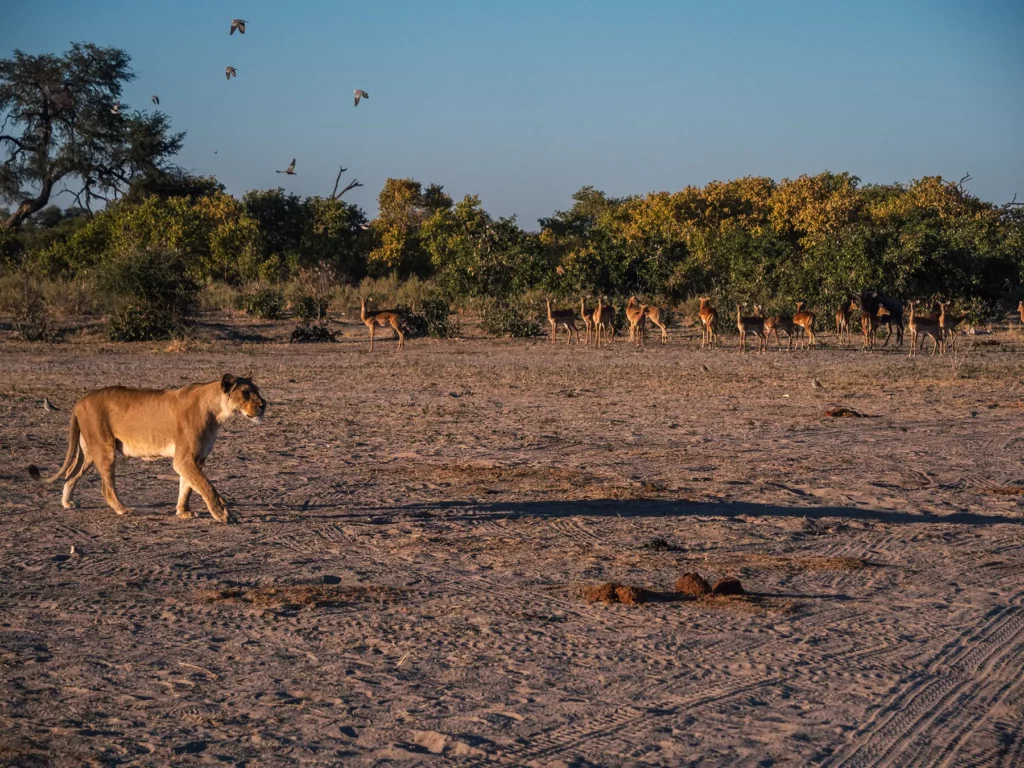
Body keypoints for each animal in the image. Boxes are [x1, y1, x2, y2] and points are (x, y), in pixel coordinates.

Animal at [28, 374, 266, 524]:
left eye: (257, 391)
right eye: (246, 393)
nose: (264, 405)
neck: (216, 411)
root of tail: (79, 402)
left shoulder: (195, 459)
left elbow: (188, 486)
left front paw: (183, 512)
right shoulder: (184, 459)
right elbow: (206, 486)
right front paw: (223, 514)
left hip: (88, 451)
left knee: (71, 473)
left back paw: (66, 502)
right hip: (104, 448)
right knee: (105, 486)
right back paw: (122, 509)